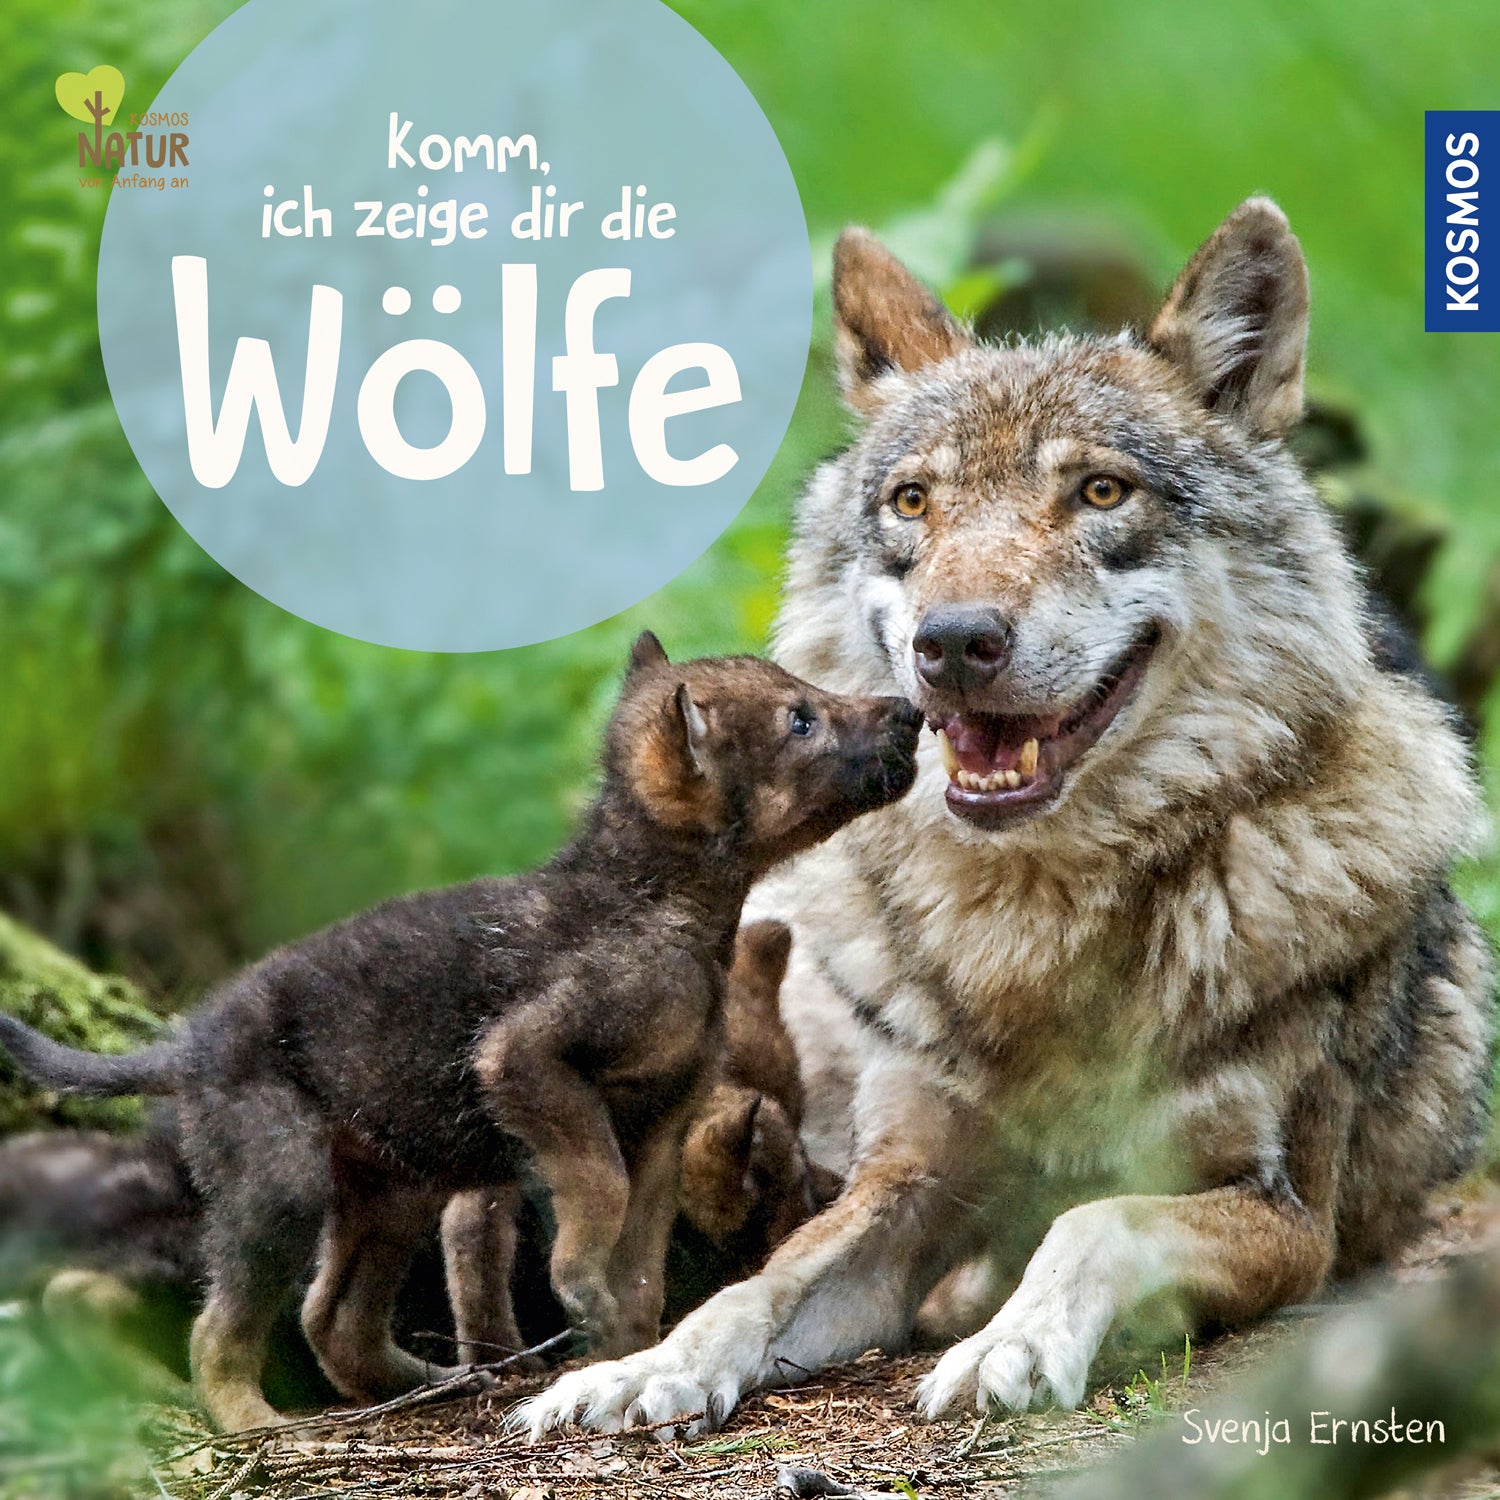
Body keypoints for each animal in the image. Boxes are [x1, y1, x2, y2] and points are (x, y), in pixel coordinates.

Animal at [0, 634, 920, 1431]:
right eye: (799, 719)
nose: (909, 709)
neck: (664, 913)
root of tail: (187, 1044)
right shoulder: (526, 1061)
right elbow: (597, 1193)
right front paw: (581, 1291)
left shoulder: (665, 1123)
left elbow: (645, 1264)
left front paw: (622, 1357)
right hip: (284, 1184)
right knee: (218, 1327)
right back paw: (262, 1427)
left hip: (389, 1190)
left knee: (332, 1318)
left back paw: (435, 1382)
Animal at [521, 199, 1494, 1438]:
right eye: (914, 502)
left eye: (1100, 494)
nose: (955, 640)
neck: (1031, 919)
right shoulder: (907, 1181)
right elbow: (763, 1283)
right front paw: (643, 1369)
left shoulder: (1287, 1221)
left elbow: (1093, 1219)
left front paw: (1011, 1345)